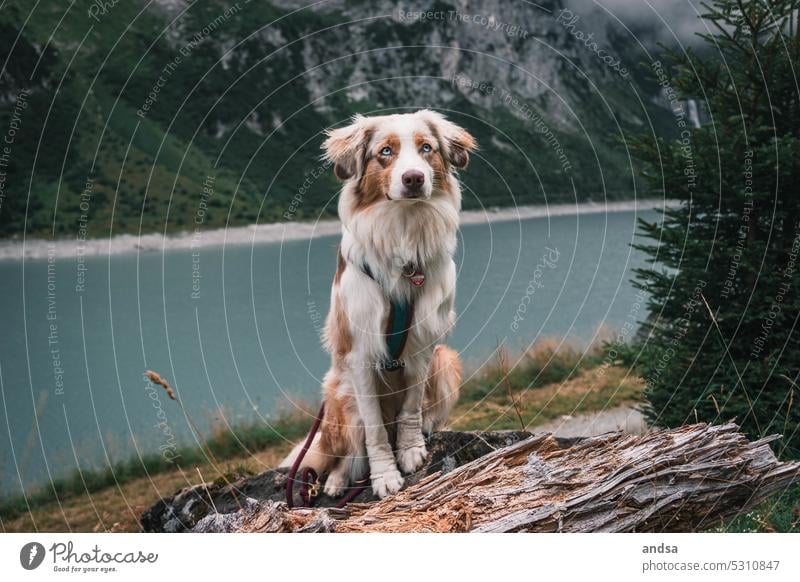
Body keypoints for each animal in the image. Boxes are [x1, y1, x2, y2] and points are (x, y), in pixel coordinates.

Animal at [282, 110, 476, 502]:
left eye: (426, 148)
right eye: (385, 151)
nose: (414, 178)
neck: (403, 228)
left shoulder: (423, 344)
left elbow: (411, 408)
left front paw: (411, 449)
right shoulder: (360, 354)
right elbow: (373, 431)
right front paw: (385, 474)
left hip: (446, 360)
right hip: (339, 394)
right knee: (348, 451)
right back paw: (337, 479)